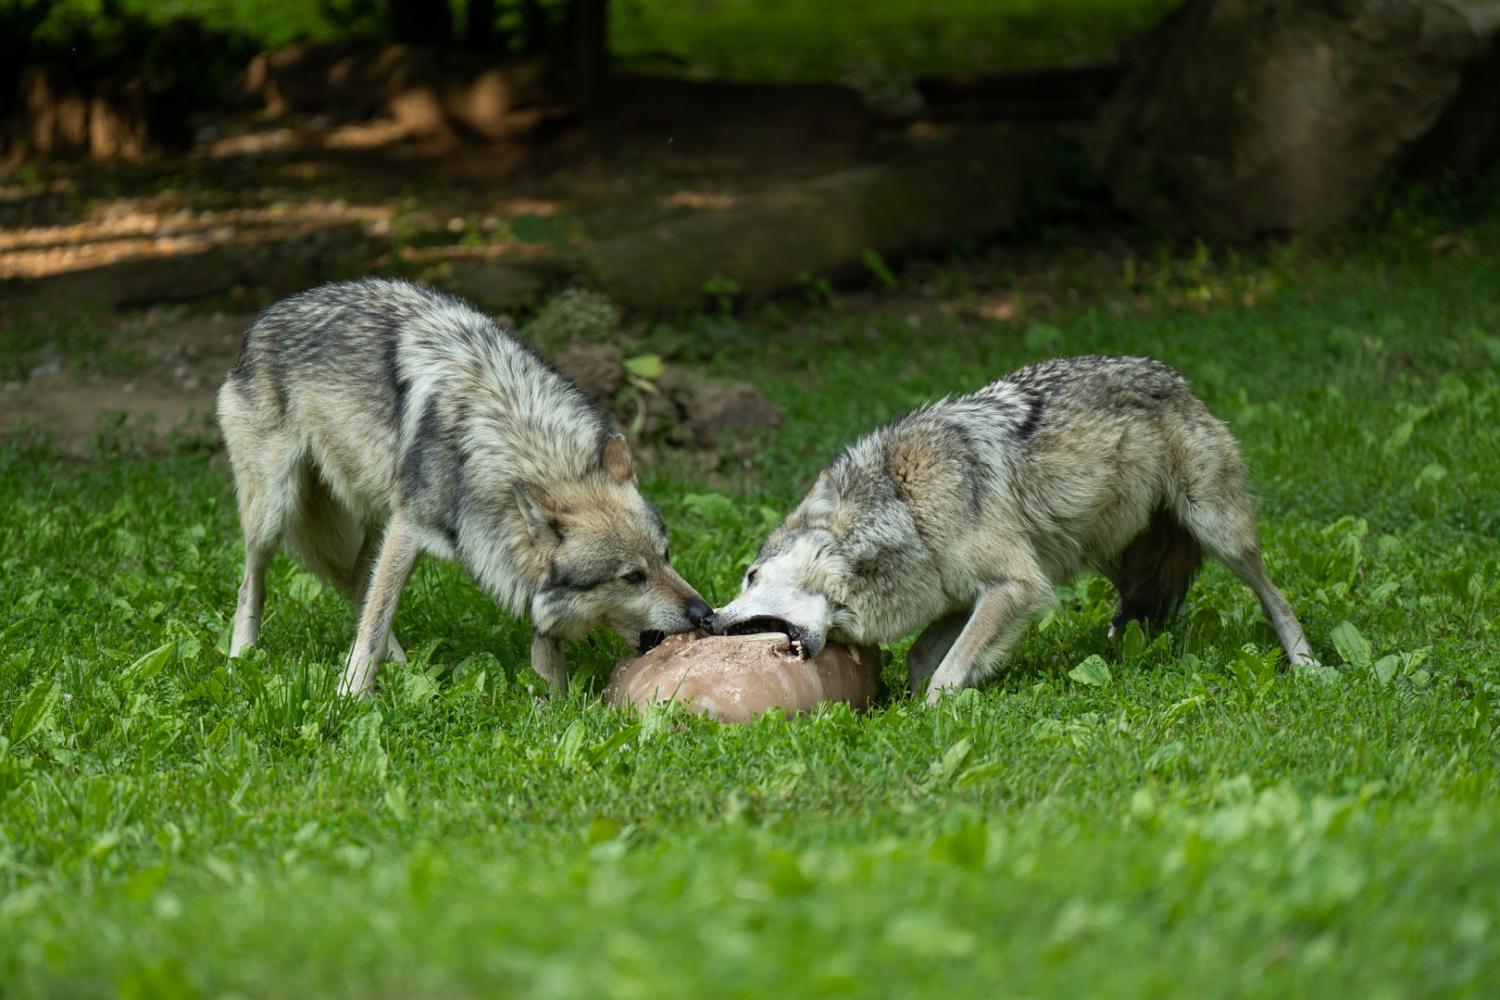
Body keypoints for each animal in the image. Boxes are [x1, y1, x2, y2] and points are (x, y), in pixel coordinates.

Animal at [217, 275, 714, 695]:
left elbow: (544, 641)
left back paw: (406, 669)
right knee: (253, 585)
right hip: (277, 509)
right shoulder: (409, 528)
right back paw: (242, 659)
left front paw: (553, 705)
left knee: (359, 578)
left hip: (373, 510)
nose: (704, 614)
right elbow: (375, 620)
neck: (522, 437)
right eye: (632, 577)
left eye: (666, 557)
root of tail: (271, 313)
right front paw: (350, 697)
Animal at [714, 352, 1314, 704]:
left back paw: (1307, 664)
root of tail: (1176, 376)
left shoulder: (1016, 586)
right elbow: (922, 658)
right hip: (1109, 554)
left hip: (1218, 531)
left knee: (1275, 596)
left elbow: (946, 673)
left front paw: (932, 716)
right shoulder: (960, 595)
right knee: (1139, 605)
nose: (708, 619)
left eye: (750, 575)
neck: (907, 508)